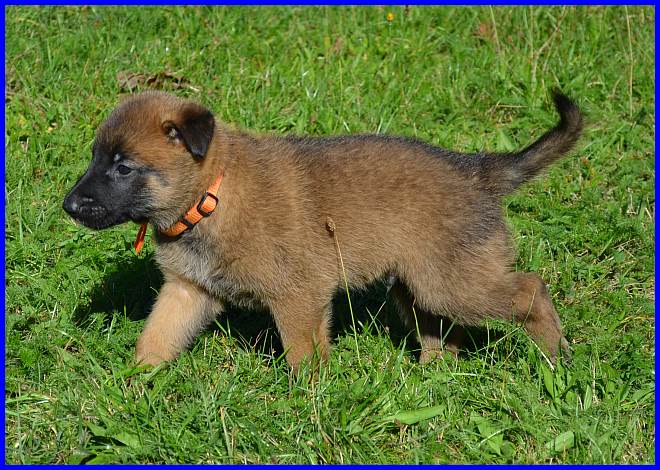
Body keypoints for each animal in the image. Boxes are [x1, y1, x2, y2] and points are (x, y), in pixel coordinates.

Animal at [63, 89, 582, 370]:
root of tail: (477, 170)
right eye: (94, 157)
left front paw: (306, 402)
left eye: (123, 167)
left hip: (451, 282)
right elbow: (155, 338)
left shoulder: (298, 296)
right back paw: (430, 376)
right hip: (417, 286)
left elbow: (302, 356)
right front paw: (133, 386)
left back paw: (557, 359)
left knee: (530, 291)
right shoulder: (188, 290)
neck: (210, 197)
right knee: (442, 332)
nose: (69, 206)